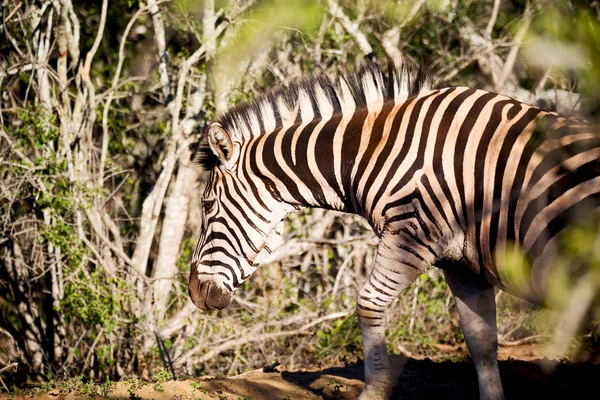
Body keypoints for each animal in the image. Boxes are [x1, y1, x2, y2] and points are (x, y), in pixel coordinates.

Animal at [189, 60, 600, 400]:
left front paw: (373, 391)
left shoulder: (411, 235)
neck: (374, 151)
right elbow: (482, 342)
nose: (194, 293)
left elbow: (368, 305)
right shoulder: (461, 264)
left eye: (207, 206)